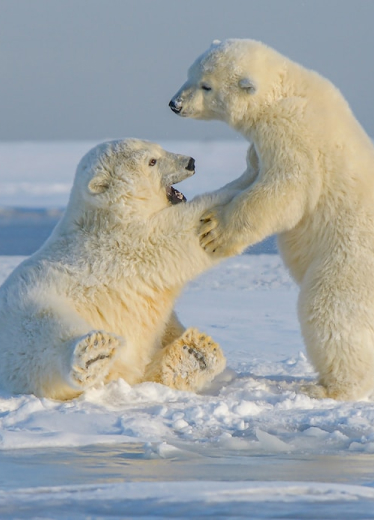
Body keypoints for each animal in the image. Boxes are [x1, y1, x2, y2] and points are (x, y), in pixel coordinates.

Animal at [0, 140, 234, 400]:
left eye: (160, 148)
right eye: (152, 161)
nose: (190, 162)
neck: (106, 215)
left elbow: (163, 324)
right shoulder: (125, 243)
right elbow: (176, 234)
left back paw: (196, 353)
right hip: (28, 311)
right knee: (46, 335)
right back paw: (94, 354)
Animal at [172, 38, 374, 402]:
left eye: (206, 86)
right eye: (190, 74)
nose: (175, 104)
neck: (287, 88)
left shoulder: (292, 133)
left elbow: (285, 189)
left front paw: (214, 231)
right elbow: (254, 172)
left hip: (348, 263)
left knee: (329, 312)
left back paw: (330, 387)